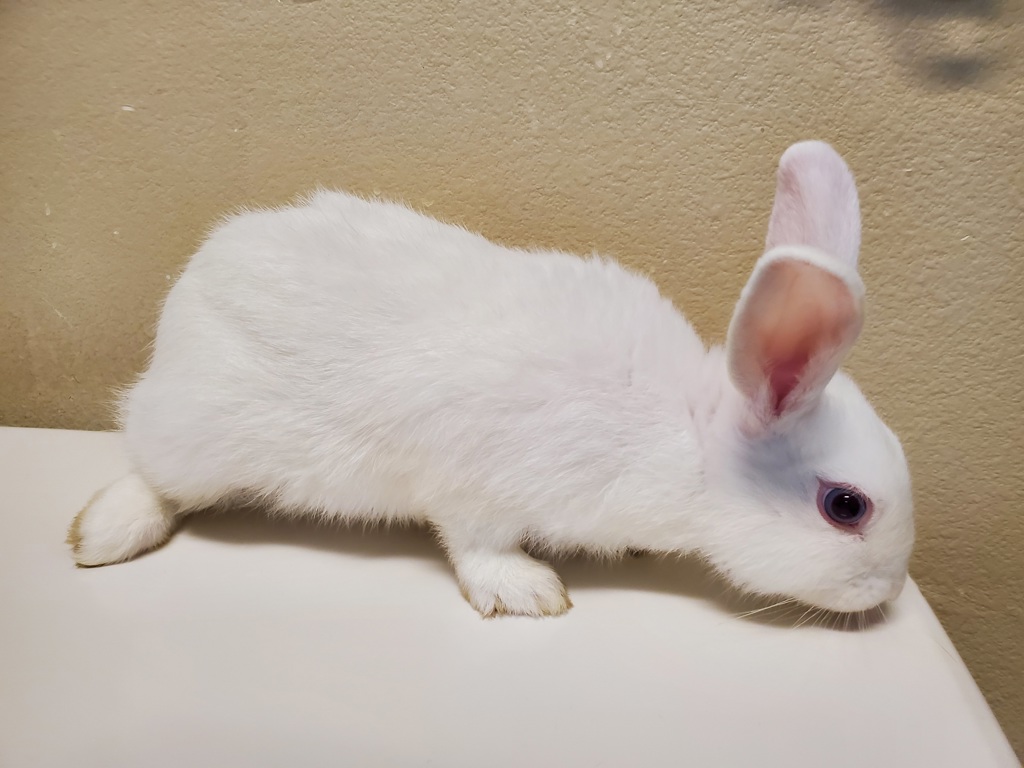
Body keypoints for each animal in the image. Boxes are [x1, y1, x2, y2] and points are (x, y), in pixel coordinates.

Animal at [67, 140, 914, 618]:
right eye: (845, 506)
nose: (890, 591)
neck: (686, 436)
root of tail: (189, 292)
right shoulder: (479, 482)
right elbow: (476, 544)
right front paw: (529, 593)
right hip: (199, 433)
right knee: (150, 469)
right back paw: (102, 532)